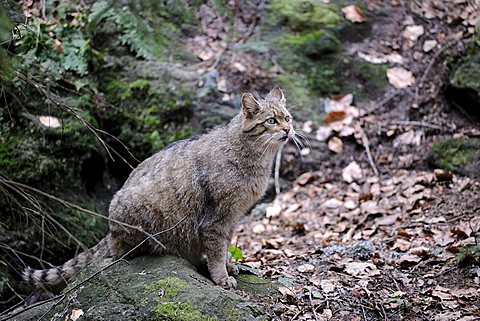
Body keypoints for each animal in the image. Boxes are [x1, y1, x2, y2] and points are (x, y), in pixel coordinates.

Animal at [14, 87, 296, 298]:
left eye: (288, 118)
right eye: (271, 121)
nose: (288, 130)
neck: (249, 154)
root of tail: (109, 230)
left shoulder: (231, 218)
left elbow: (226, 244)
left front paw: (228, 265)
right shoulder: (215, 219)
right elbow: (216, 250)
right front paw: (221, 276)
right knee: (121, 251)